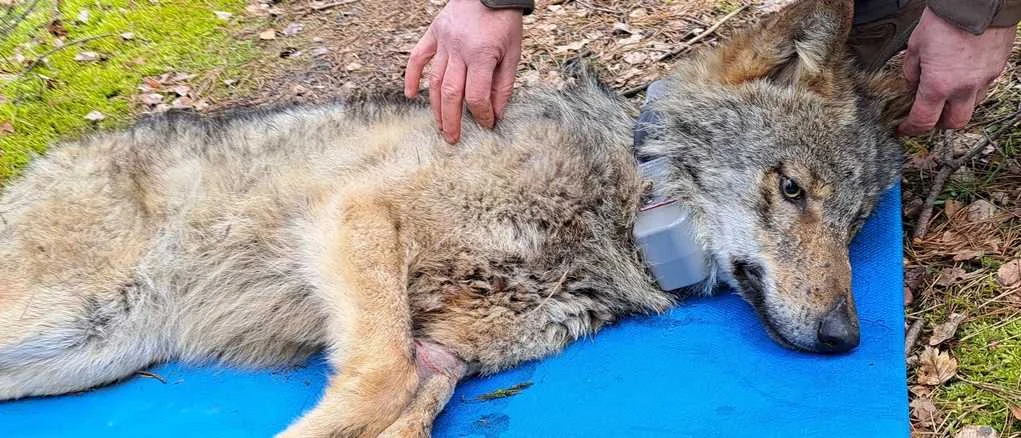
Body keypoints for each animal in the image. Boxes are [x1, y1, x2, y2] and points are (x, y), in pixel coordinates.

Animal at [0, 0, 908, 436]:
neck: (616, 204)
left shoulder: (441, 357)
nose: (845, 340)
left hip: (80, 354)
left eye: (854, 224)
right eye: (790, 191)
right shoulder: (358, 213)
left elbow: (393, 403)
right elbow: (376, 382)